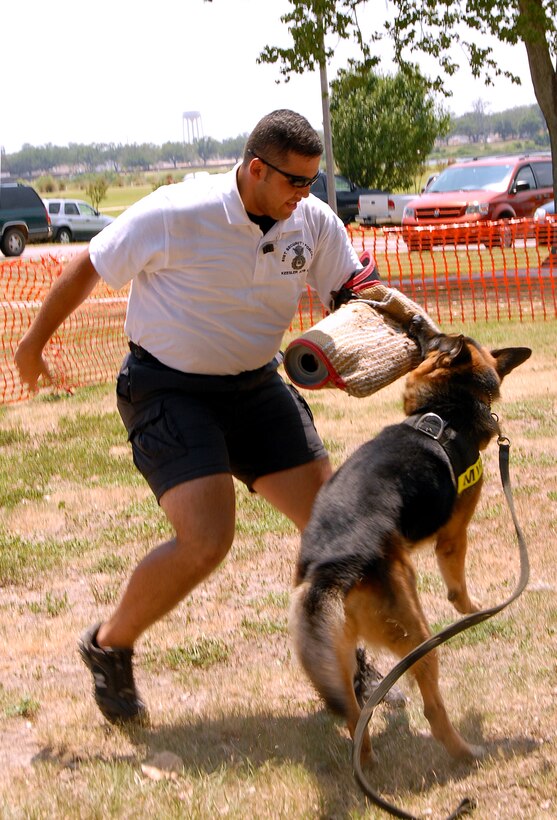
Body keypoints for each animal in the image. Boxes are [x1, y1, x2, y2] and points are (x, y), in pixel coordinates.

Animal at [292, 318, 528, 764]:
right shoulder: (453, 537)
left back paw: (366, 762)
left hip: (340, 658)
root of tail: (333, 569)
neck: (447, 411)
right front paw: (474, 610)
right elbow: (459, 592)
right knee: (433, 709)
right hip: (419, 637)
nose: (417, 320)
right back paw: (466, 751)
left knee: (354, 717)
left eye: (432, 338)